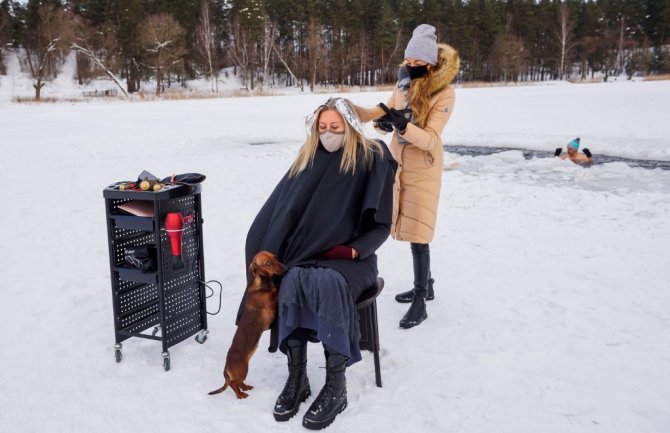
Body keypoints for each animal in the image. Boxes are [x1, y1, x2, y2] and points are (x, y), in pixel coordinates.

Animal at [209, 250, 284, 398]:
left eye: (275, 257)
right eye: (267, 263)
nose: (284, 267)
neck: (261, 284)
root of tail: (226, 367)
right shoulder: (270, 303)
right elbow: (275, 291)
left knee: (237, 382)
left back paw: (245, 387)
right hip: (243, 369)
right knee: (233, 383)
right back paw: (240, 395)